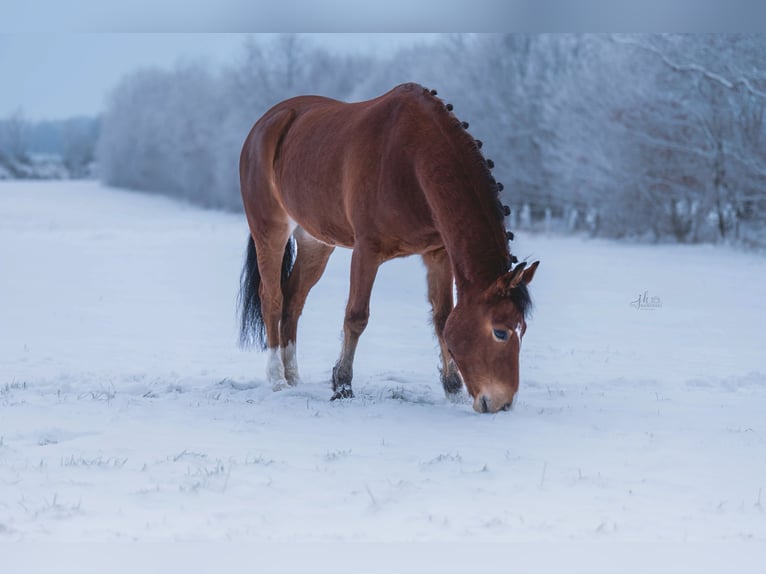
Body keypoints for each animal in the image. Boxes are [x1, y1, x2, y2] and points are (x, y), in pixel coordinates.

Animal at [238, 83, 539, 413]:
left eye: (523, 329)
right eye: (500, 331)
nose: (502, 404)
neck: (413, 161)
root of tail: (265, 123)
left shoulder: (437, 254)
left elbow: (442, 318)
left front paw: (453, 389)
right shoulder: (367, 251)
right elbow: (356, 317)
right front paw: (342, 386)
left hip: (316, 242)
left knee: (293, 299)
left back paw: (293, 378)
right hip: (270, 230)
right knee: (272, 298)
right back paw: (277, 379)